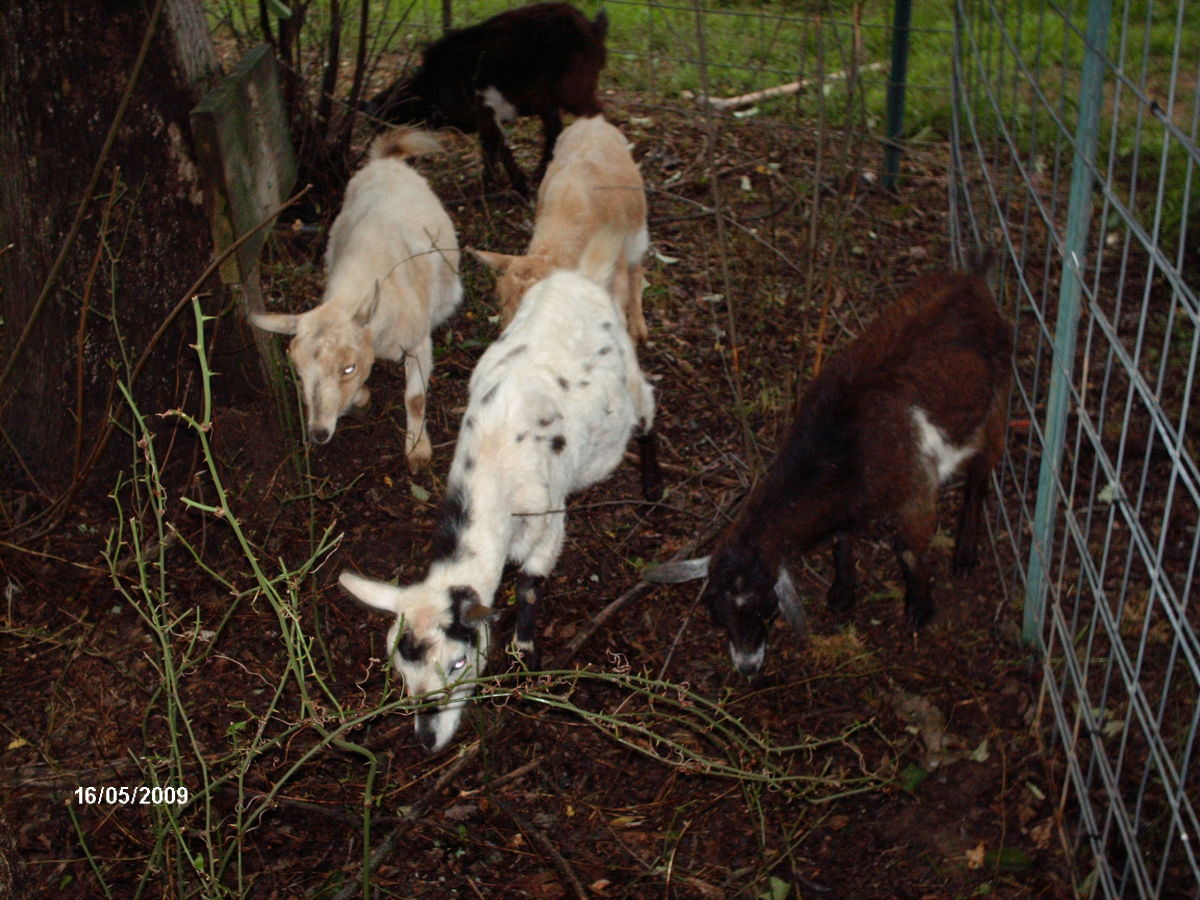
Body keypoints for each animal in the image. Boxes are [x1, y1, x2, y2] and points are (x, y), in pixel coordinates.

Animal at [250, 127, 460, 472]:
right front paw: (361, 397)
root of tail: (386, 162)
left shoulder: (418, 342)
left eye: (347, 368)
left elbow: (415, 398)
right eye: (299, 373)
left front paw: (417, 451)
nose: (319, 433)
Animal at [357, 3, 604, 194]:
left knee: (596, 113)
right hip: (546, 99)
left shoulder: (487, 109)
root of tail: (591, 26)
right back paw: (541, 173)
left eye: (387, 126)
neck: (433, 88)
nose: (383, 161)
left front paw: (510, 187)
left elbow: (498, 147)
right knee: (554, 129)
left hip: (574, 89)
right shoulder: (485, 119)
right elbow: (490, 148)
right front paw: (495, 186)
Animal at [648, 264, 1012, 681]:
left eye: (767, 608)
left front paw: (919, 609)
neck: (842, 444)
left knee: (982, 471)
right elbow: (841, 537)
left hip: (998, 401)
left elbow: (907, 549)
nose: (747, 666)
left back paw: (965, 555)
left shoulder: (915, 489)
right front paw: (842, 592)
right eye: (716, 612)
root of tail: (973, 280)